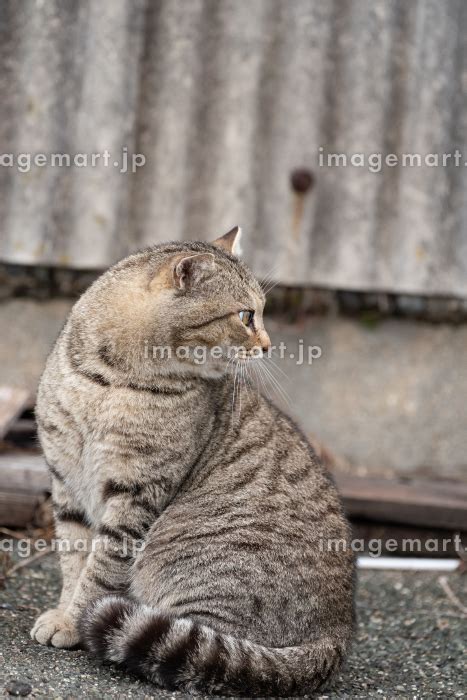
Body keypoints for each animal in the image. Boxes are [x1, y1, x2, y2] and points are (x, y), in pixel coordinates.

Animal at [32, 228, 354, 696]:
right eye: (246, 315)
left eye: (259, 313)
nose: (267, 345)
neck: (111, 381)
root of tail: (336, 637)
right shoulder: (67, 482)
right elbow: (74, 559)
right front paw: (63, 613)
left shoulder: (137, 492)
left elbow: (98, 572)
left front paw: (74, 621)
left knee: (205, 650)